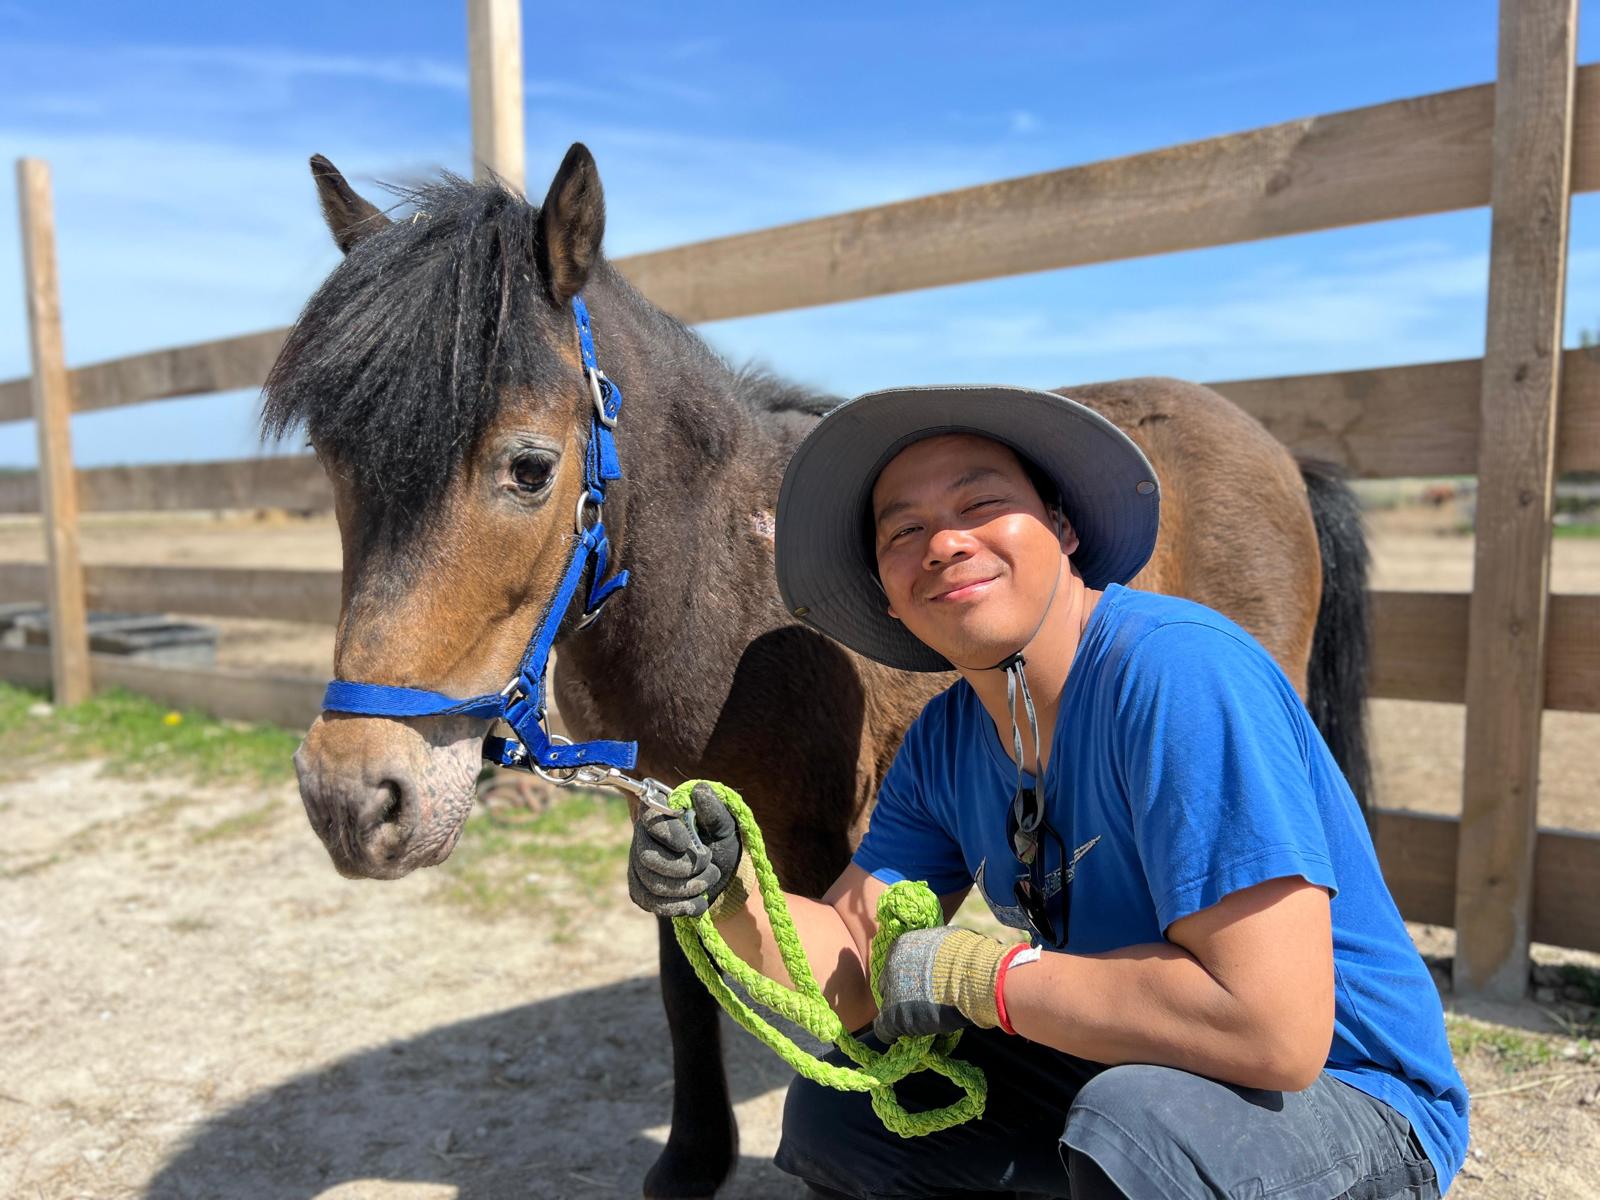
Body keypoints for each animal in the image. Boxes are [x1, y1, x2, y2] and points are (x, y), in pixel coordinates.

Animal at [266, 143, 1370, 1199]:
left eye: (529, 468)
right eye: (334, 463)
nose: (354, 800)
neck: (728, 586)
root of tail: (1275, 449)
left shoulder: (819, 832)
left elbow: (838, 998)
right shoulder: (669, 805)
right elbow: (689, 974)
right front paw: (691, 1161)